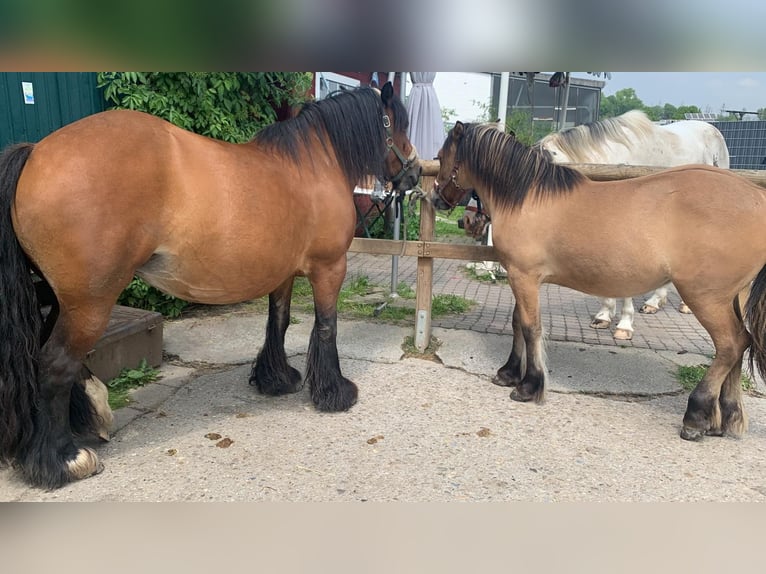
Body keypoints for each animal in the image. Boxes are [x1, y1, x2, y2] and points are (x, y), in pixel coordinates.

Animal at [0, 81, 420, 490]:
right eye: (398, 125)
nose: (415, 173)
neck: (314, 165)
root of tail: (36, 153)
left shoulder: (282, 274)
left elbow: (279, 323)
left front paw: (276, 379)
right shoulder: (330, 268)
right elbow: (327, 326)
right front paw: (335, 392)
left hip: (64, 299)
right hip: (91, 302)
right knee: (55, 364)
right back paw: (64, 460)